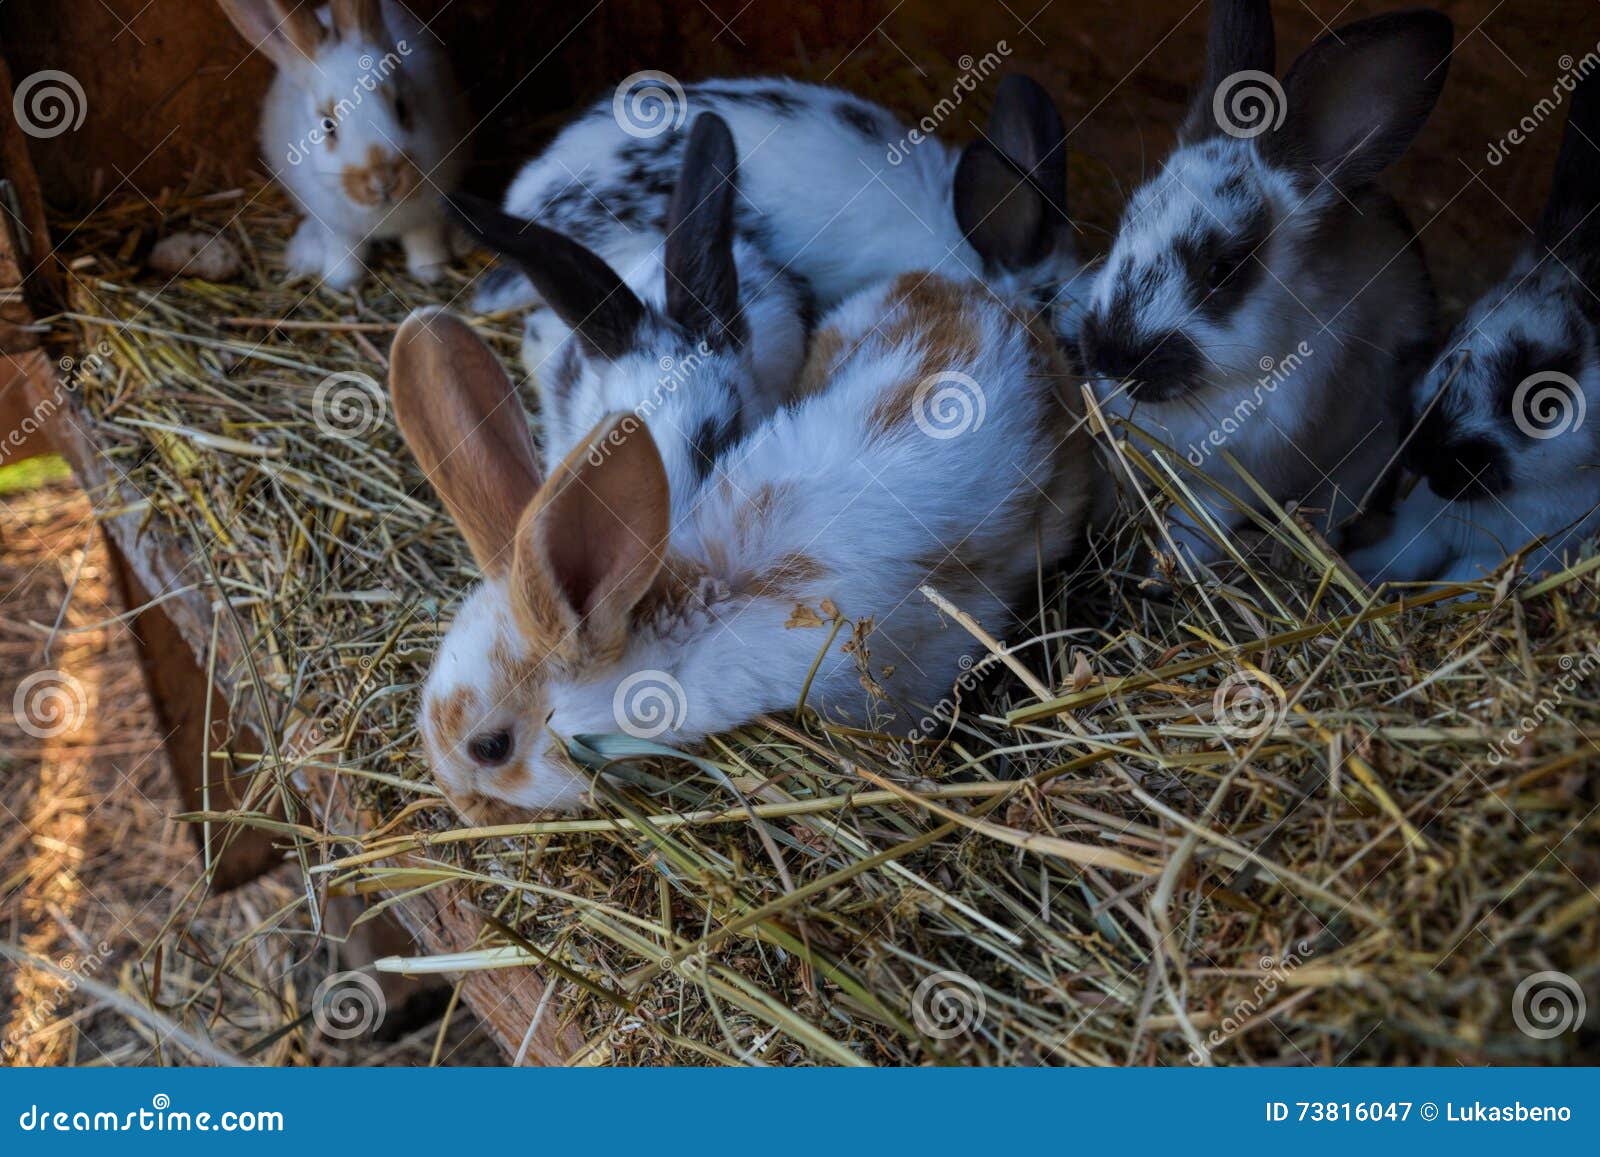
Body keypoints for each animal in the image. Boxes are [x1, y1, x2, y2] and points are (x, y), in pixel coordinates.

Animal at [216, 0, 469, 289]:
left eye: (402, 107)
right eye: (328, 125)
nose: (384, 181)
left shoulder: (427, 216)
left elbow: (423, 241)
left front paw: (429, 272)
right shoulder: (334, 226)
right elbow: (345, 251)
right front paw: (340, 280)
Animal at [1077, 1, 1451, 568]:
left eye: (1223, 269)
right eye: (1129, 218)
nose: (1112, 355)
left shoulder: (1227, 491)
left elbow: (1191, 534)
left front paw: (1164, 570)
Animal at [1347, 71, 1600, 587]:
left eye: (1544, 400)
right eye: (1457, 332)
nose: (1422, 453)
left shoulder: (1500, 558)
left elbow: (1457, 586)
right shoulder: (1418, 529)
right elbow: (1399, 557)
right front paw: (1357, 571)